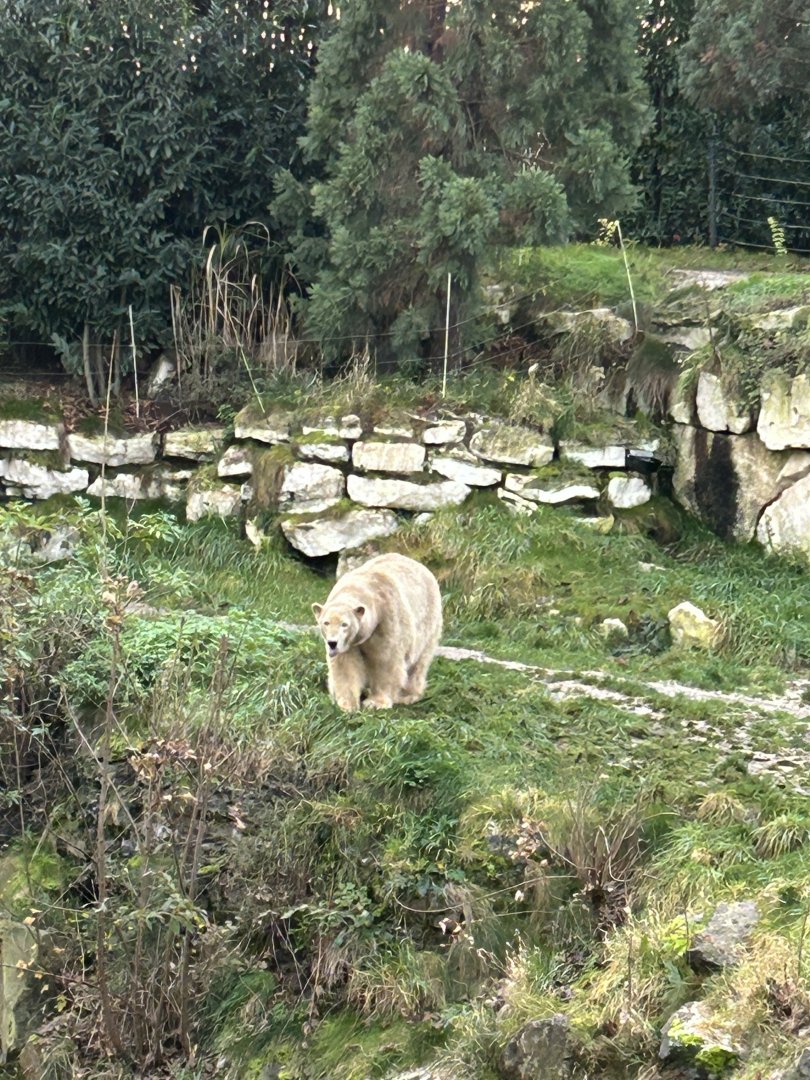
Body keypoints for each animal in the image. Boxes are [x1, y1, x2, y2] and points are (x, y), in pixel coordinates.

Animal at [312, 552, 442, 711]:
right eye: (326, 623)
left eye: (345, 624)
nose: (332, 643)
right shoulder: (347, 645)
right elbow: (345, 664)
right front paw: (347, 704)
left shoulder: (387, 620)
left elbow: (386, 661)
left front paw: (375, 703)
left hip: (428, 622)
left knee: (418, 662)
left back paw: (407, 695)